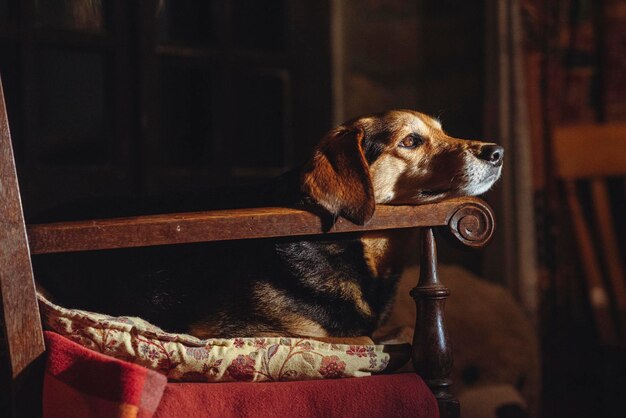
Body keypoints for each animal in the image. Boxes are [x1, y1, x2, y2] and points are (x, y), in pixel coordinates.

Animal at [33, 110, 502, 340]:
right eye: (411, 141)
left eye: (442, 132)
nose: (496, 152)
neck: (355, 248)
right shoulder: (252, 333)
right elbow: (368, 342)